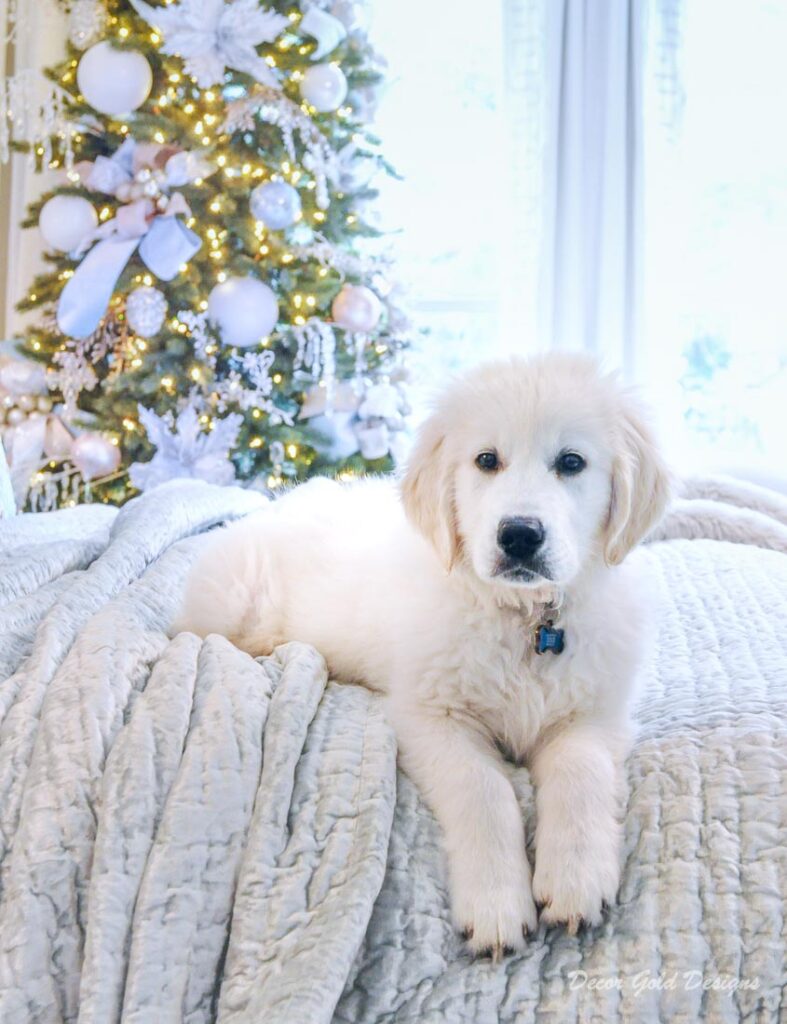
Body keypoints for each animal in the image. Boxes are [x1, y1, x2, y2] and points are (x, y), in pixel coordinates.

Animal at [176, 356, 671, 954]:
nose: (519, 535)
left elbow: (580, 775)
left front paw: (576, 878)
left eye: (572, 462)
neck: (525, 621)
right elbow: (484, 789)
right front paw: (496, 904)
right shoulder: (429, 716)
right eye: (486, 460)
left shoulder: (595, 714)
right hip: (227, 608)